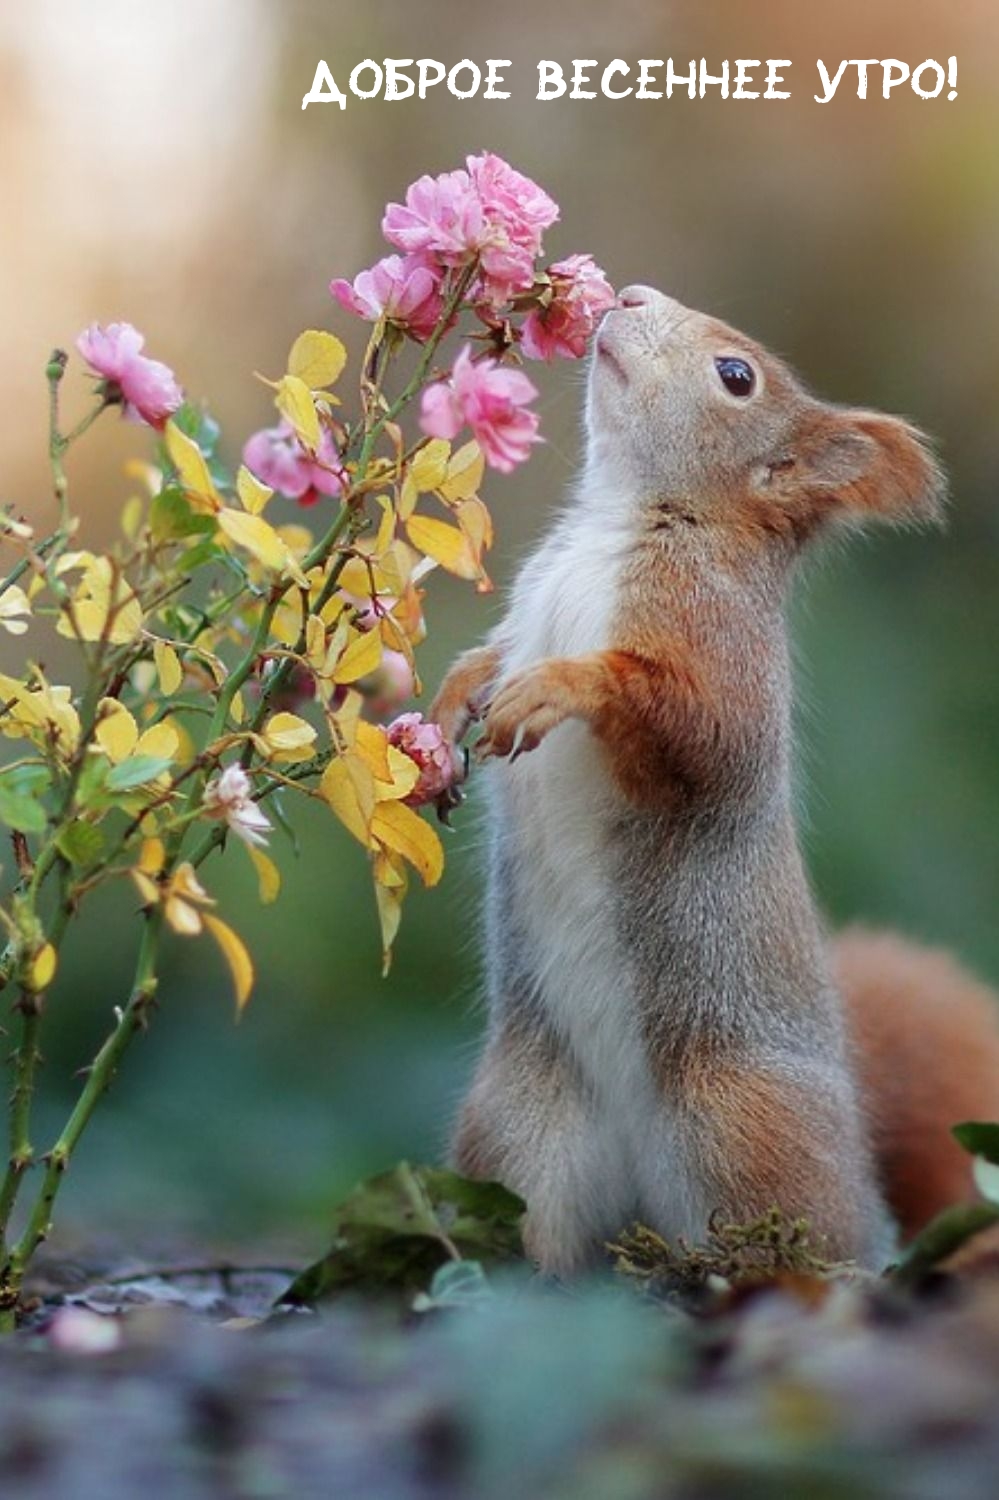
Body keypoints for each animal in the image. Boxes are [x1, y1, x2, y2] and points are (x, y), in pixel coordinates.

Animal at [426, 283, 996, 1278]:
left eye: (736, 377)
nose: (627, 293)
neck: (618, 521)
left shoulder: (718, 648)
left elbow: (695, 731)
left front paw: (561, 686)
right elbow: (488, 656)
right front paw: (456, 695)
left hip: (744, 1128)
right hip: (520, 1136)